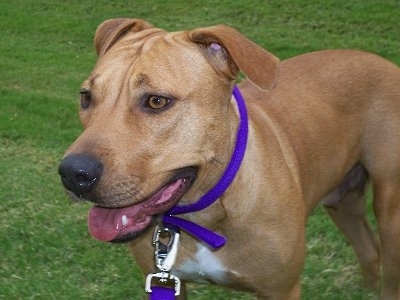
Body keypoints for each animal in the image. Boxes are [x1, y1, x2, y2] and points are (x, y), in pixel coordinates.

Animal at [58, 18, 400, 298]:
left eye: (157, 101)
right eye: (86, 97)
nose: (73, 173)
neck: (203, 214)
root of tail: (381, 61)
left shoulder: (282, 289)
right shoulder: (163, 282)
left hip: (389, 209)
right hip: (342, 199)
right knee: (368, 250)